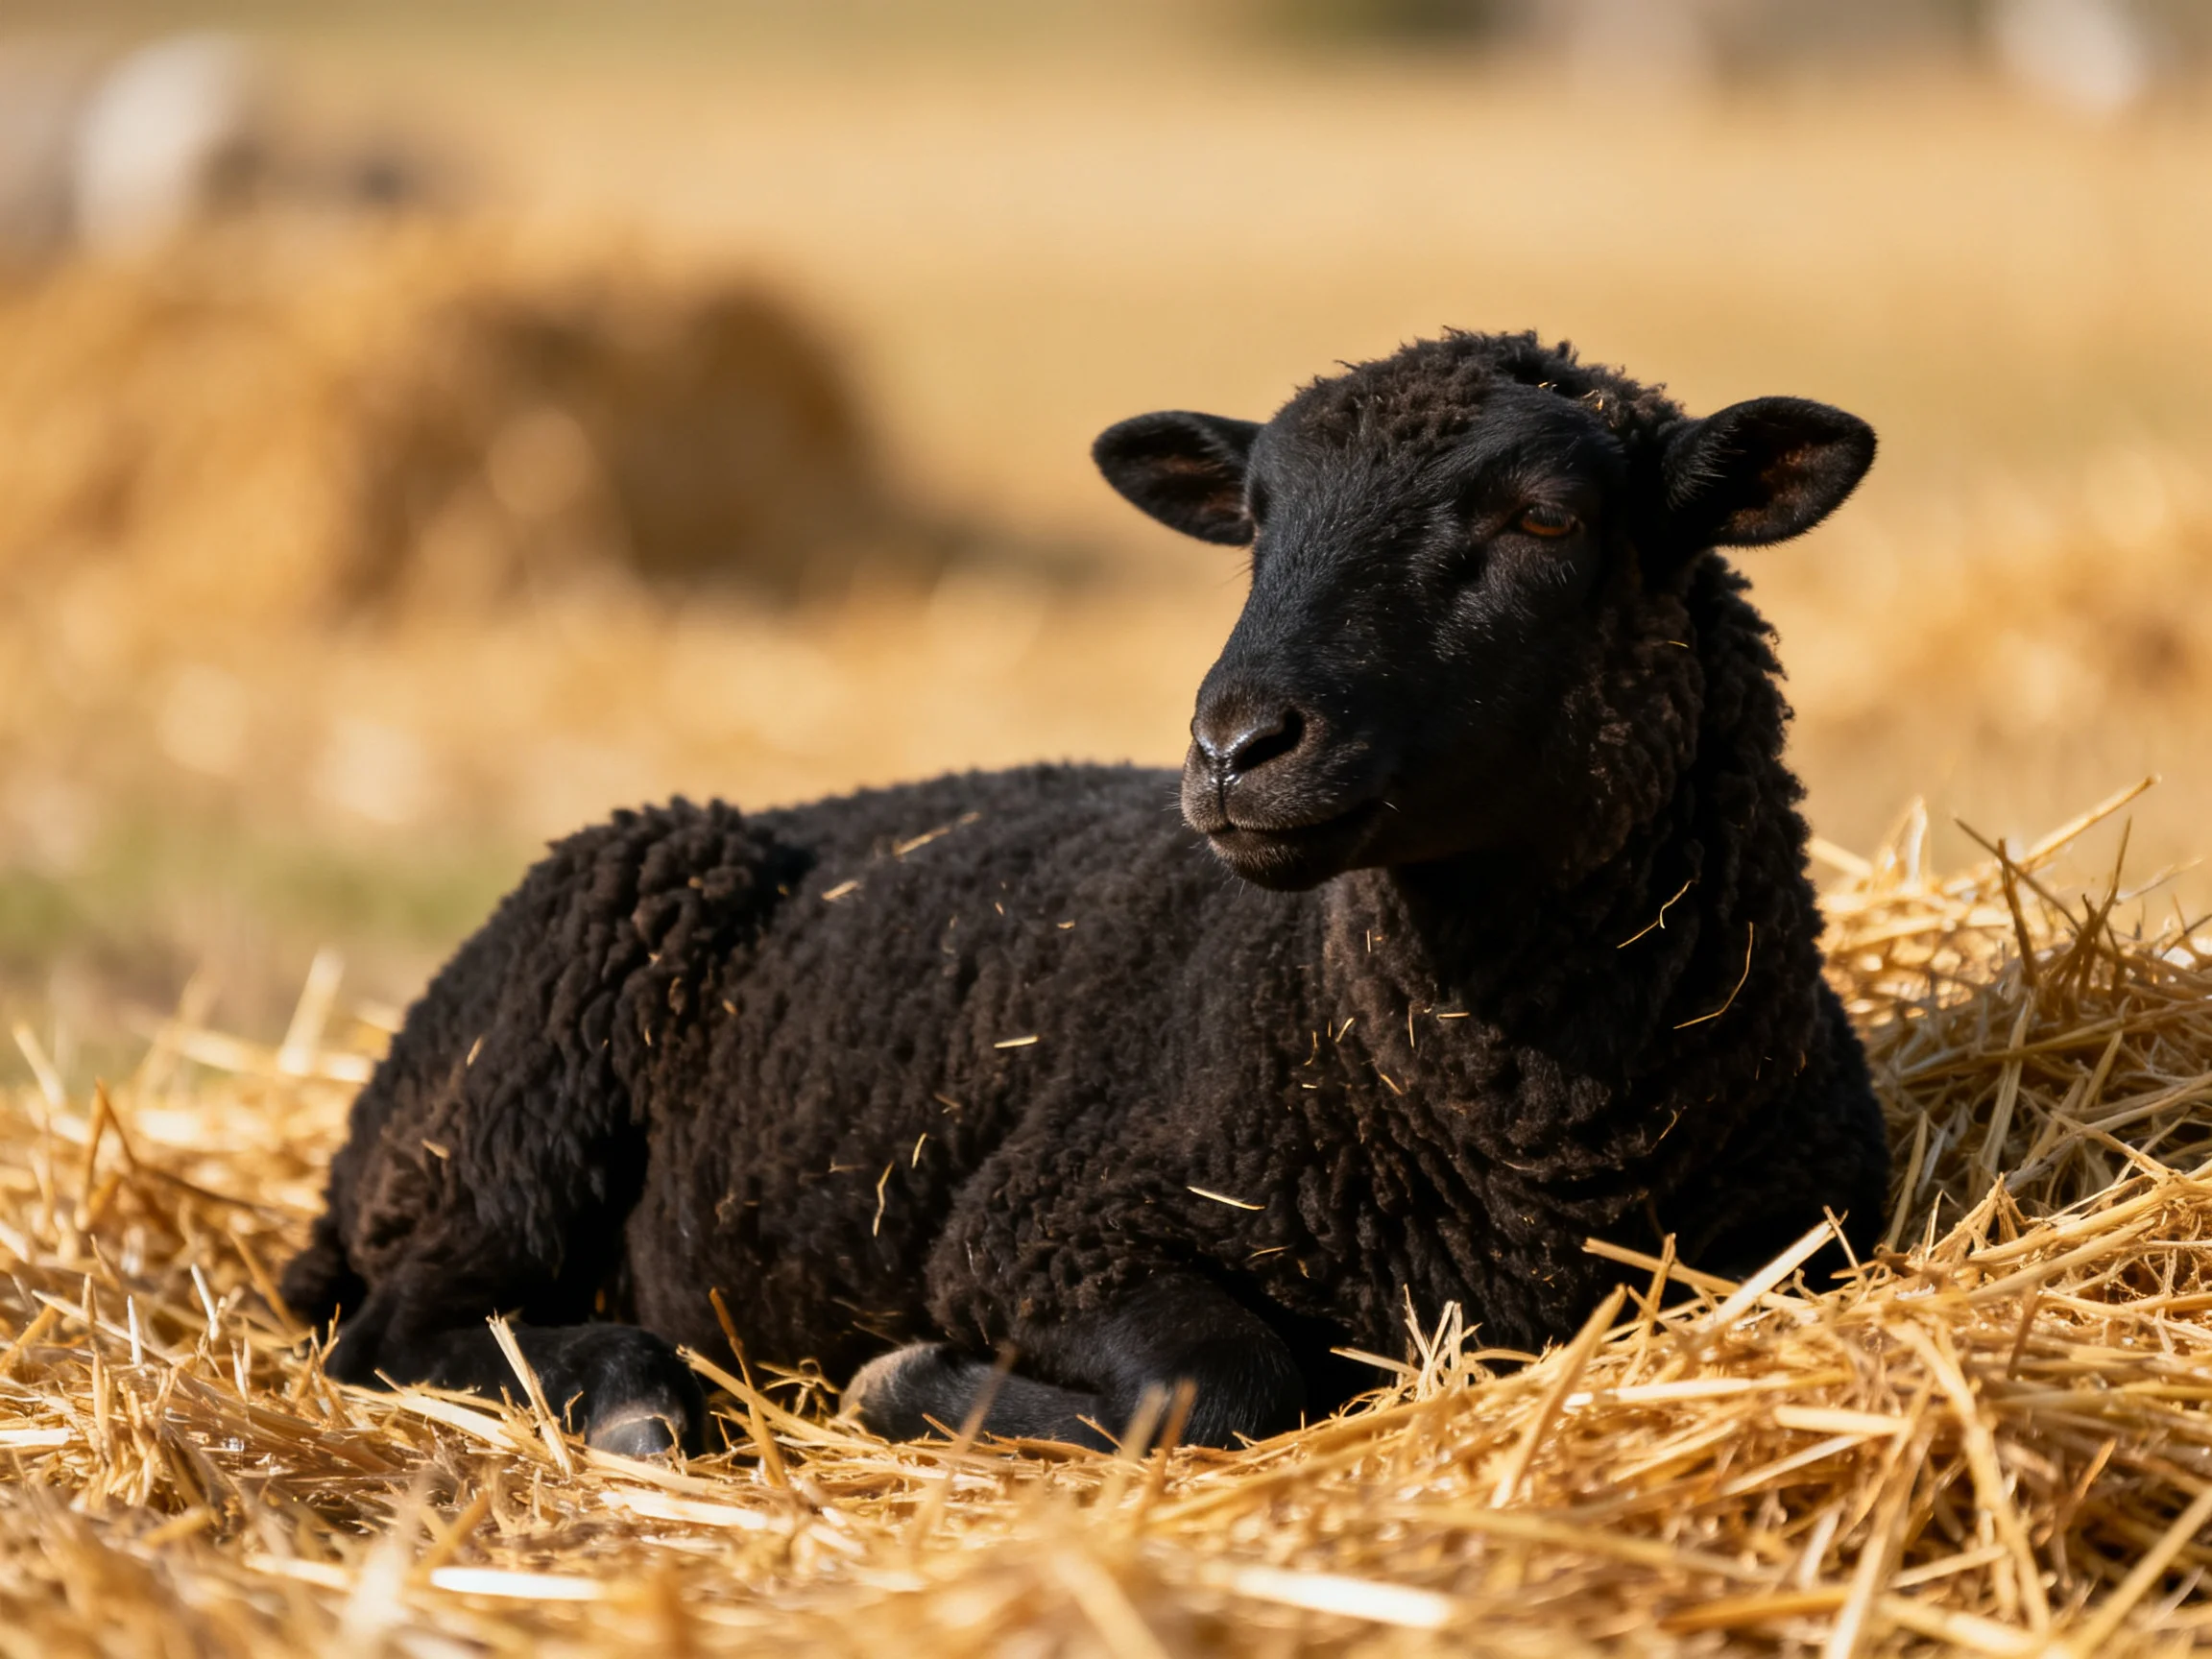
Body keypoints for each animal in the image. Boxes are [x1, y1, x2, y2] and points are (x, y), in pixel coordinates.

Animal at [283, 329, 1890, 1458]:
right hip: (513, 1124)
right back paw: (629, 1395)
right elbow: (1220, 1385)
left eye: (1547, 521)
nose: (1235, 747)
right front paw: (906, 1381)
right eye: (1255, 522)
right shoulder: (1037, 1222)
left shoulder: (1804, 1253)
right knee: (396, 1330)